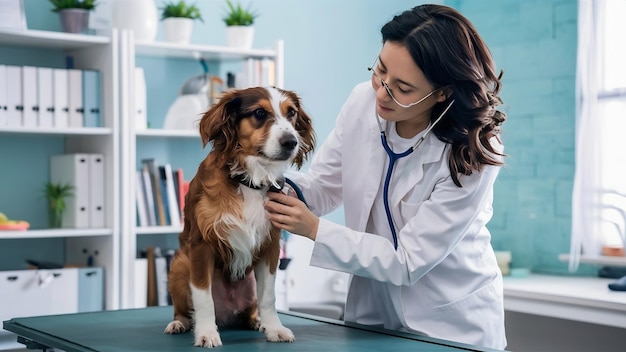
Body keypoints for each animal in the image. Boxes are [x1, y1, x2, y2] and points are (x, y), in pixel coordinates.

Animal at [163, 86, 314, 348]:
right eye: (260, 113)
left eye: (291, 113)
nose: (291, 142)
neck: (249, 179)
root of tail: (226, 316)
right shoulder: (201, 245)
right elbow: (203, 298)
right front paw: (206, 333)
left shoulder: (270, 245)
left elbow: (269, 297)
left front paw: (274, 328)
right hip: (180, 266)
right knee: (184, 309)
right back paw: (179, 323)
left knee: (251, 310)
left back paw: (258, 322)